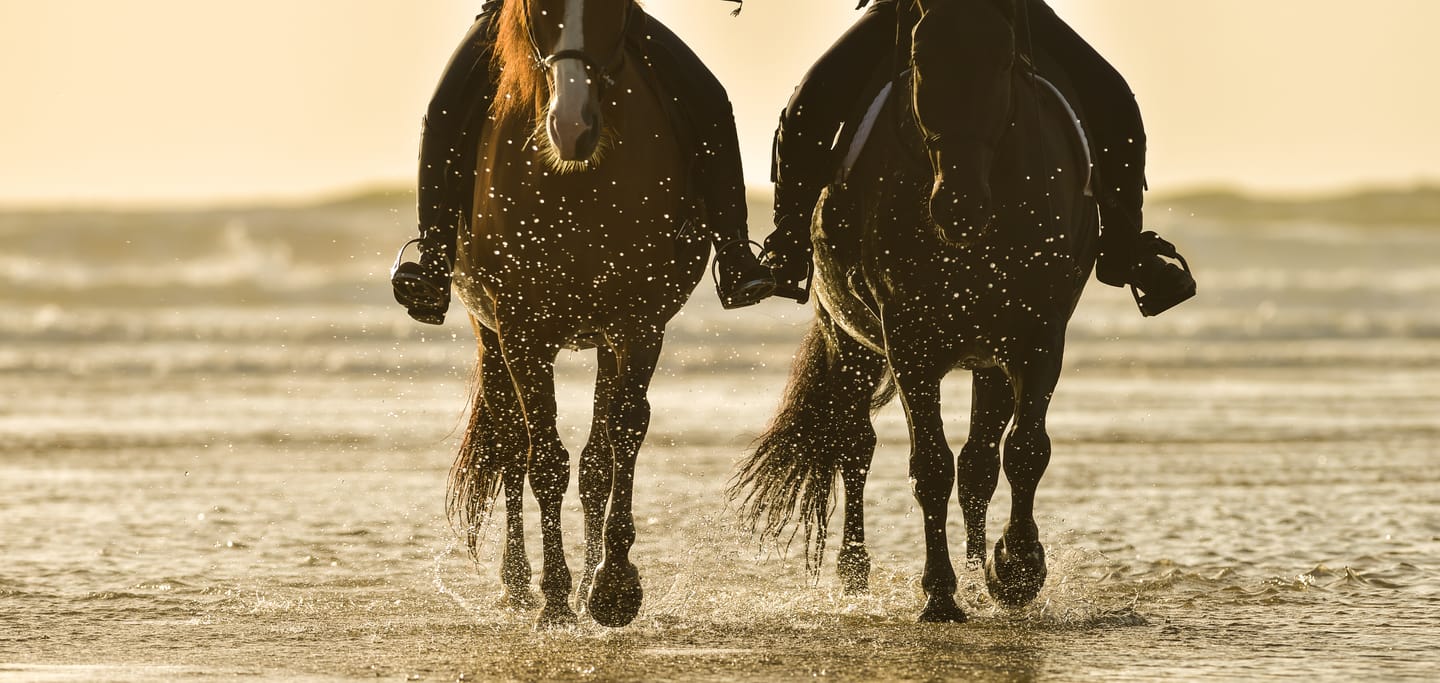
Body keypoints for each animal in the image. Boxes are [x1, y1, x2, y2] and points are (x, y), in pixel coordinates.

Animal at [445, 0, 711, 628]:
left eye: (611, 7)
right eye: (537, 8)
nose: (572, 127)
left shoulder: (638, 326)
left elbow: (620, 439)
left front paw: (612, 585)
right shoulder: (521, 330)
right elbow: (543, 459)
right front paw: (556, 598)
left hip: (601, 343)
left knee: (593, 460)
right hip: (491, 335)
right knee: (509, 448)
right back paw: (519, 585)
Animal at [730, 1, 1100, 623]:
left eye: (1004, 59)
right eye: (922, 57)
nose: (958, 205)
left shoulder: (1038, 337)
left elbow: (1024, 451)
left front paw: (1016, 568)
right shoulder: (909, 342)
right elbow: (930, 466)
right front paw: (940, 593)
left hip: (987, 361)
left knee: (979, 463)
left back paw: (978, 567)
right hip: (850, 342)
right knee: (855, 448)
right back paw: (855, 571)